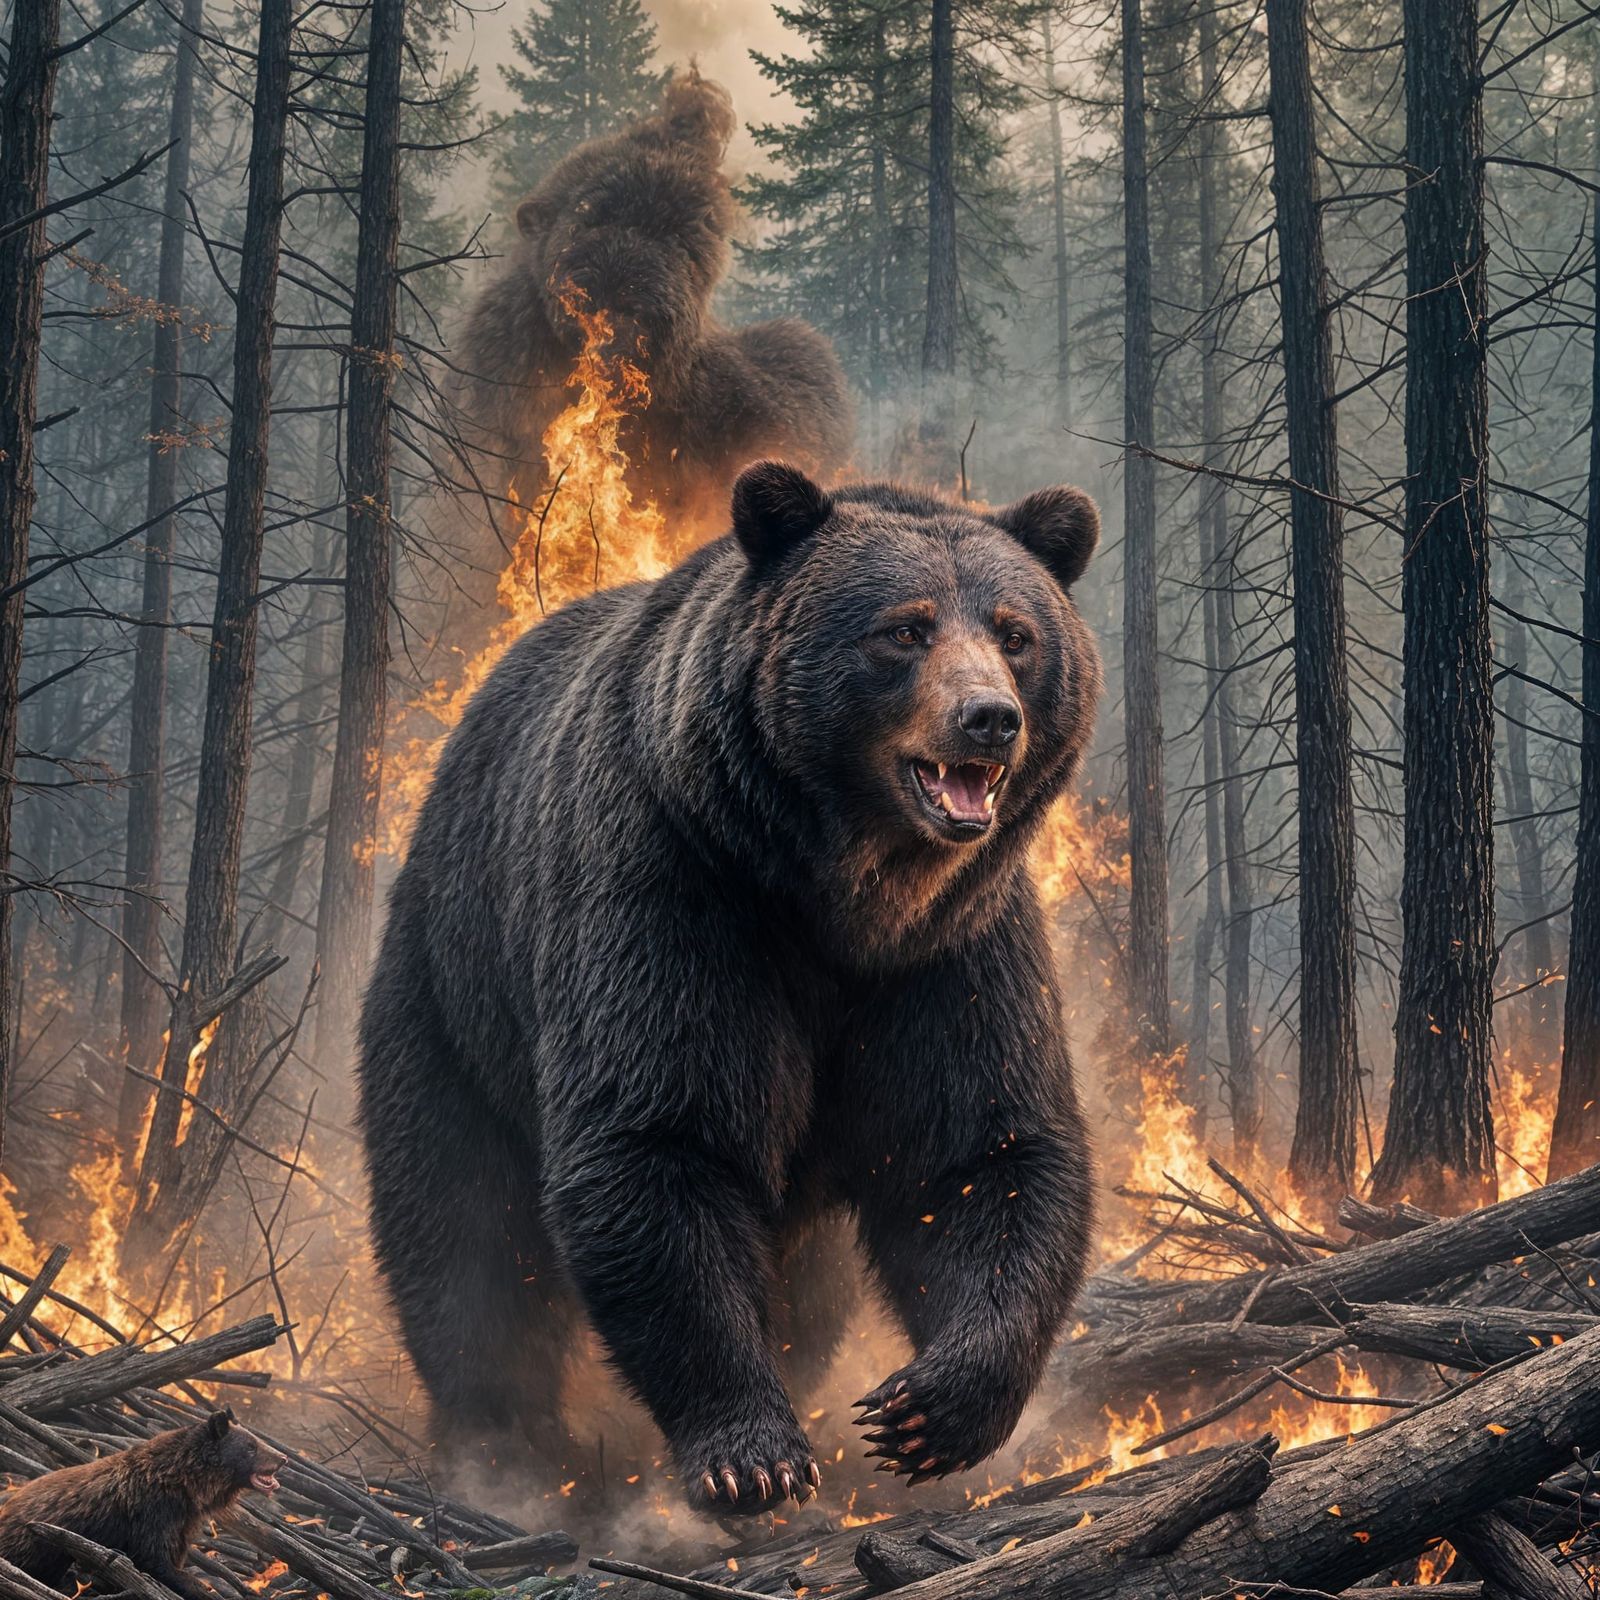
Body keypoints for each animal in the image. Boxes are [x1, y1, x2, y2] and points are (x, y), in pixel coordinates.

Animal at [0, 1410, 285, 1600]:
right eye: (250, 1447)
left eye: (256, 1441)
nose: (282, 1458)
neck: (184, 1486)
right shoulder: (150, 1514)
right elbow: (154, 1559)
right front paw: (202, 1586)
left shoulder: (181, 1526)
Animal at [357, 462, 1102, 1513]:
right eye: (904, 629)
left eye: (1015, 632)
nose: (990, 718)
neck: (839, 891)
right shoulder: (677, 893)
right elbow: (662, 1138)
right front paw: (752, 1453)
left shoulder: (949, 950)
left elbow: (979, 1147)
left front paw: (927, 1413)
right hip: (453, 991)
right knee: (462, 1231)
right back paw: (503, 1439)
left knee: (811, 1279)